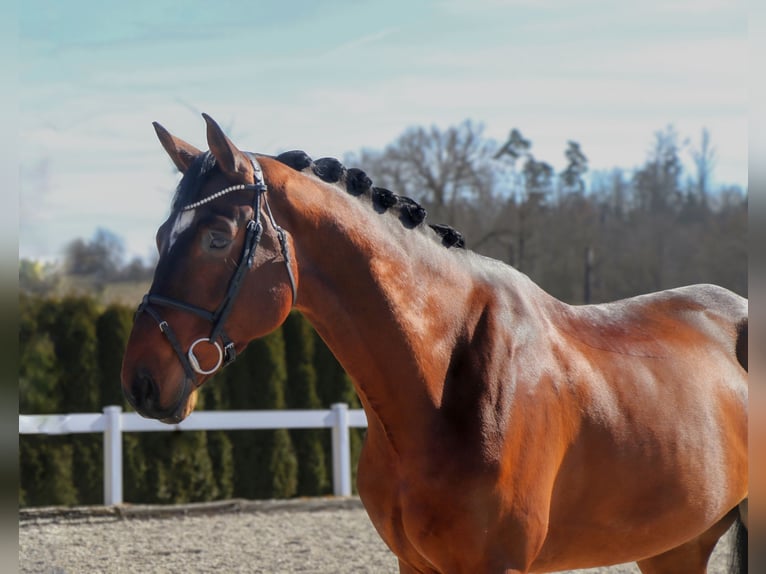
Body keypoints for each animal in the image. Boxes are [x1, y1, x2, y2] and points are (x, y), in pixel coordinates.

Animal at [121, 115, 752, 572]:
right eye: (161, 234)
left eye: (217, 236)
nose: (141, 380)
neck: (441, 384)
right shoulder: (415, 564)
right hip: (675, 546)